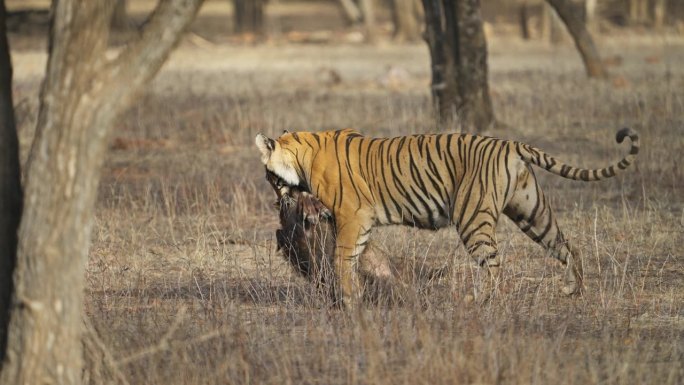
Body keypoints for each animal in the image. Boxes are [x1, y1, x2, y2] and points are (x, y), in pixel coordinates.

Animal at [254, 127, 640, 308]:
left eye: (269, 178)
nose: (275, 200)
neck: (303, 152)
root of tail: (511, 145)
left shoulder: (352, 217)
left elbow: (342, 259)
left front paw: (350, 300)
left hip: (473, 219)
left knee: (495, 266)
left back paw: (482, 302)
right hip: (532, 211)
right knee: (566, 245)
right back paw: (575, 289)